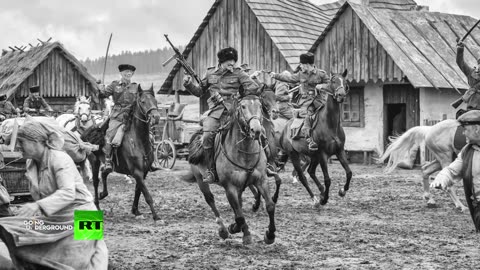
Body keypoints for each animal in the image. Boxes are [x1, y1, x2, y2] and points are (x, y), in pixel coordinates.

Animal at [79, 85, 160, 221]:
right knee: (96, 181)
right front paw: (156, 216)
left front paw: (135, 210)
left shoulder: (144, 172)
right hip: (94, 161)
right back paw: (97, 205)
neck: (138, 141)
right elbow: (147, 195)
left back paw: (103, 194)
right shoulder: (137, 172)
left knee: (104, 173)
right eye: (143, 102)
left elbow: (138, 191)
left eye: (155, 101)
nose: (156, 117)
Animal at [188, 94, 278, 246]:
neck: (245, 153)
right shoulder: (230, 187)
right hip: (201, 179)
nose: (256, 130)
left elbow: (270, 206)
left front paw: (270, 235)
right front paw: (242, 232)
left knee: (238, 206)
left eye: (260, 106)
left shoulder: (261, 180)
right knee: (210, 200)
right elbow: (240, 216)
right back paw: (223, 230)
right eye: (243, 106)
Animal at [278, 69, 352, 207]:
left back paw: (321, 191)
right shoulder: (323, 154)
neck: (330, 124)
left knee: (311, 171)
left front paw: (342, 191)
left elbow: (349, 173)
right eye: (333, 81)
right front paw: (324, 199)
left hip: (313, 156)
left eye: (345, 83)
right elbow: (327, 179)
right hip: (294, 155)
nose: (341, 95)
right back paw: (316, 199)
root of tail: (285, 128)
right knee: (303, 177)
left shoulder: (339, 151)